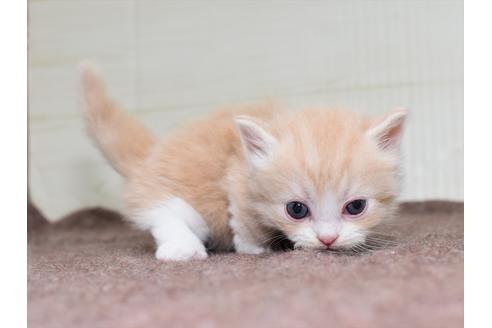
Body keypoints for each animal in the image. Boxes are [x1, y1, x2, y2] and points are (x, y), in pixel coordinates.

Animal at [80, 64, 408, 262]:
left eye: (356, 207)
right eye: (296, 209)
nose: (327, 239)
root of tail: (149, 156)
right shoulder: (237, 177)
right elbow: (245, 221)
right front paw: (254, 248)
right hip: (176, 197)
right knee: (163, 212)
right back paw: (183, 249)